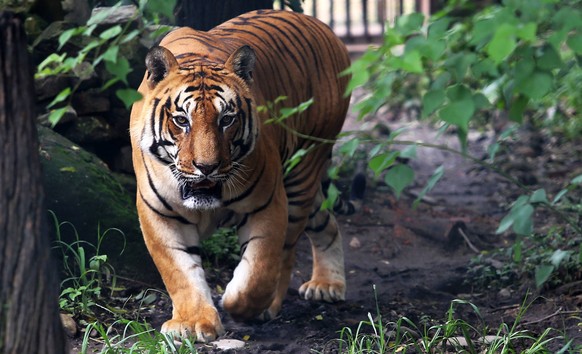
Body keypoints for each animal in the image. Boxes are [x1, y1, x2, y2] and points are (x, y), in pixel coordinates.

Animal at [129, 8, 352, 342]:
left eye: (227, 119)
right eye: (182, 120)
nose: (206, 167)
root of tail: (324, 27)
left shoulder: (268, 204)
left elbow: (258, 271)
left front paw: (239, 304)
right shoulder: (158, 214)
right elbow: (179, 272)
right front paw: (193, 323)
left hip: (302, 172)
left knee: (288, 250)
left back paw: (280, 301)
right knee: (327, 221)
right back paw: (328, 285)